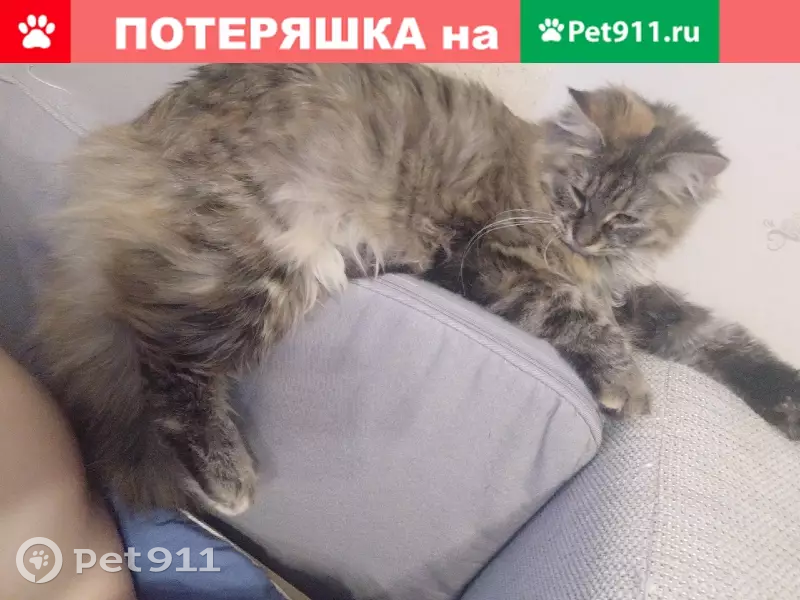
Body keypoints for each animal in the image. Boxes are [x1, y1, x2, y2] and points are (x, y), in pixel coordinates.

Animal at [34, 63, 799, 516]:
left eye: (623, 219)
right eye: (577, 195)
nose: (581, 235)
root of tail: (138, 132)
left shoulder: (628, 292)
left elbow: (712, 333)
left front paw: (785, 400)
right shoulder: (494, 259)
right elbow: (582, 316)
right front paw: (628, 385)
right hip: (268, 258)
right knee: (166, 362)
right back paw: (227, 478)